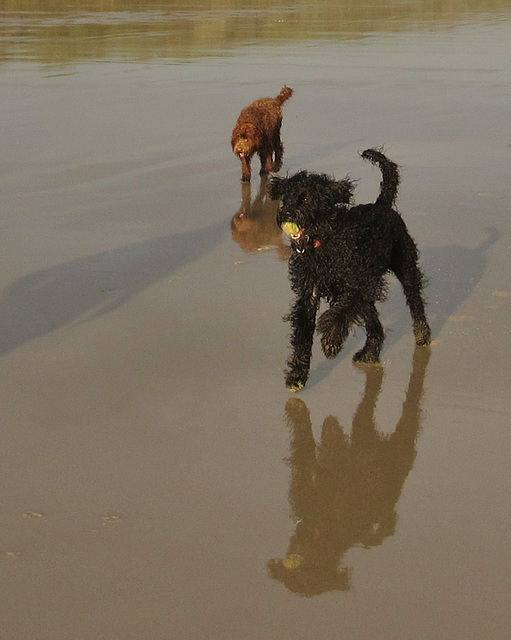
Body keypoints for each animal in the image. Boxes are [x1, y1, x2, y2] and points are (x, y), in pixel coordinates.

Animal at [268, 150, 432, 390]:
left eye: (306, 198)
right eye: (285, 198)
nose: (287, 213)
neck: (324, 244)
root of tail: (382, 205)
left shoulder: (358, 284)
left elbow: (338, 312)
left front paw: (331, 342)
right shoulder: (309, 292)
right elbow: (303, 333)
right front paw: (297, 374)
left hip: (405, 265)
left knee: (414, 301)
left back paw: (422, 334)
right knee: (375, 324)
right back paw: (369, 352)